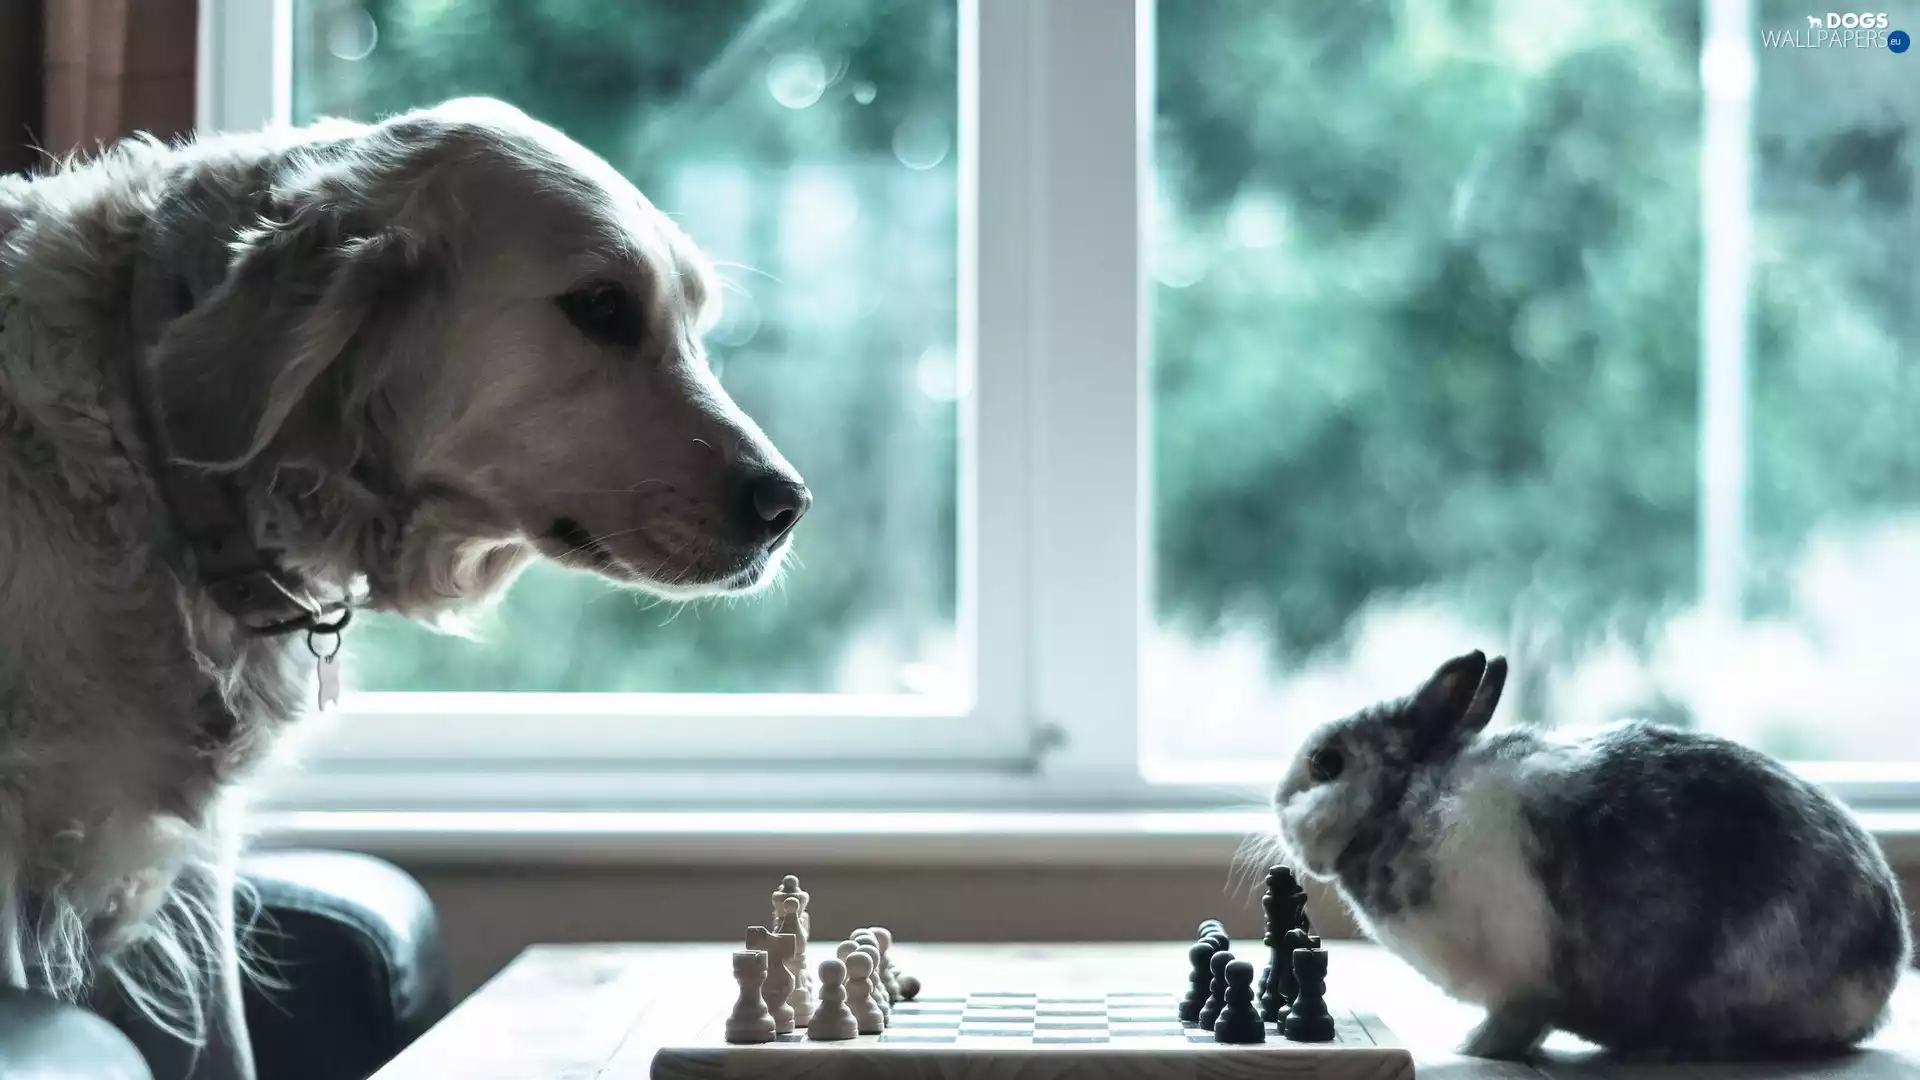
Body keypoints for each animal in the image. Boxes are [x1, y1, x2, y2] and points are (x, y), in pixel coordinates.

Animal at [1271, 648, 1912, 1063]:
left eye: (1327, 763)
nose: (1275, 804)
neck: (1401, 802)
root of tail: (1884, 966)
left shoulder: (1522, 983)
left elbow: (1516, 1022)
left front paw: (1471, 1049)